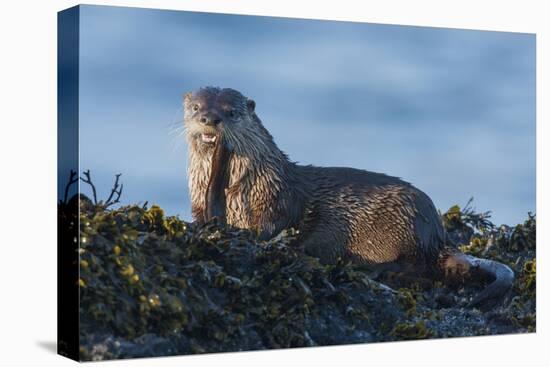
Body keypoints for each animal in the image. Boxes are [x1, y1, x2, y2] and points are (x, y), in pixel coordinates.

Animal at [185, 87, 516, 308]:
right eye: (196, 107)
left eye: (231, 112)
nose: (210, 119)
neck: (241, 189)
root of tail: (438, 235)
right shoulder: (199, 202)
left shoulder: (277, 199)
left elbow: (273, 226)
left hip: (408, 224)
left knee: (420, 269)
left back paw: (374, 269)